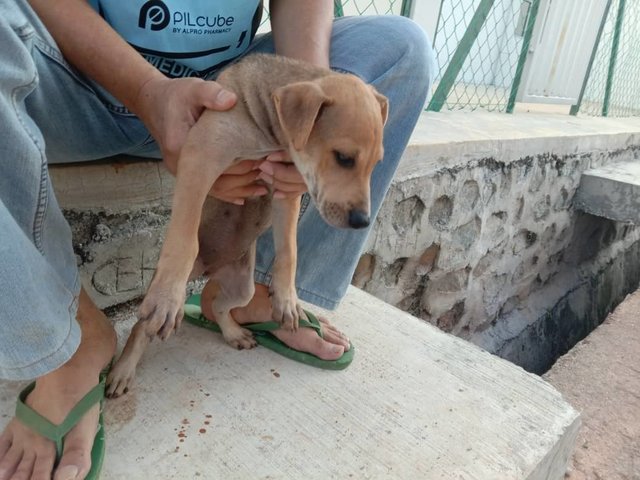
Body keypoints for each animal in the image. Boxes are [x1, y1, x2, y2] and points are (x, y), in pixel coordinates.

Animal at [106, 53, 384, 398]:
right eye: (344, 157)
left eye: (375, 163)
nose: (362, 222)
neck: (268, 131)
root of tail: (210, 270)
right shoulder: (200, 158)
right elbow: (184, 235)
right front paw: (168, 296)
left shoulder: (285, 191)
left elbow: (288, 251)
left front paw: (286, 299)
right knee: (140, 328)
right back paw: (124, 369)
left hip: (242, 287)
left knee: (218, 304)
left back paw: (233, 333)